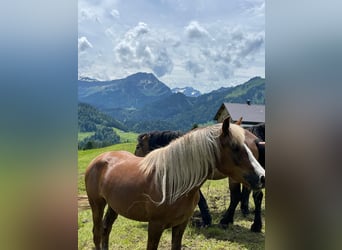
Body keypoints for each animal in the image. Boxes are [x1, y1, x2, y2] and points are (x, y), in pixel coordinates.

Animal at [85, 117, 264, 250]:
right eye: (235, 147)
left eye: (245, 147)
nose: (261, 176)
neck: (172, 183)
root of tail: (100, 158)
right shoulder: (155, 226)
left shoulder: (180, 225)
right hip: (97, 204)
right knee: (97, 232)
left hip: (113, 206)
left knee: (105, 229)